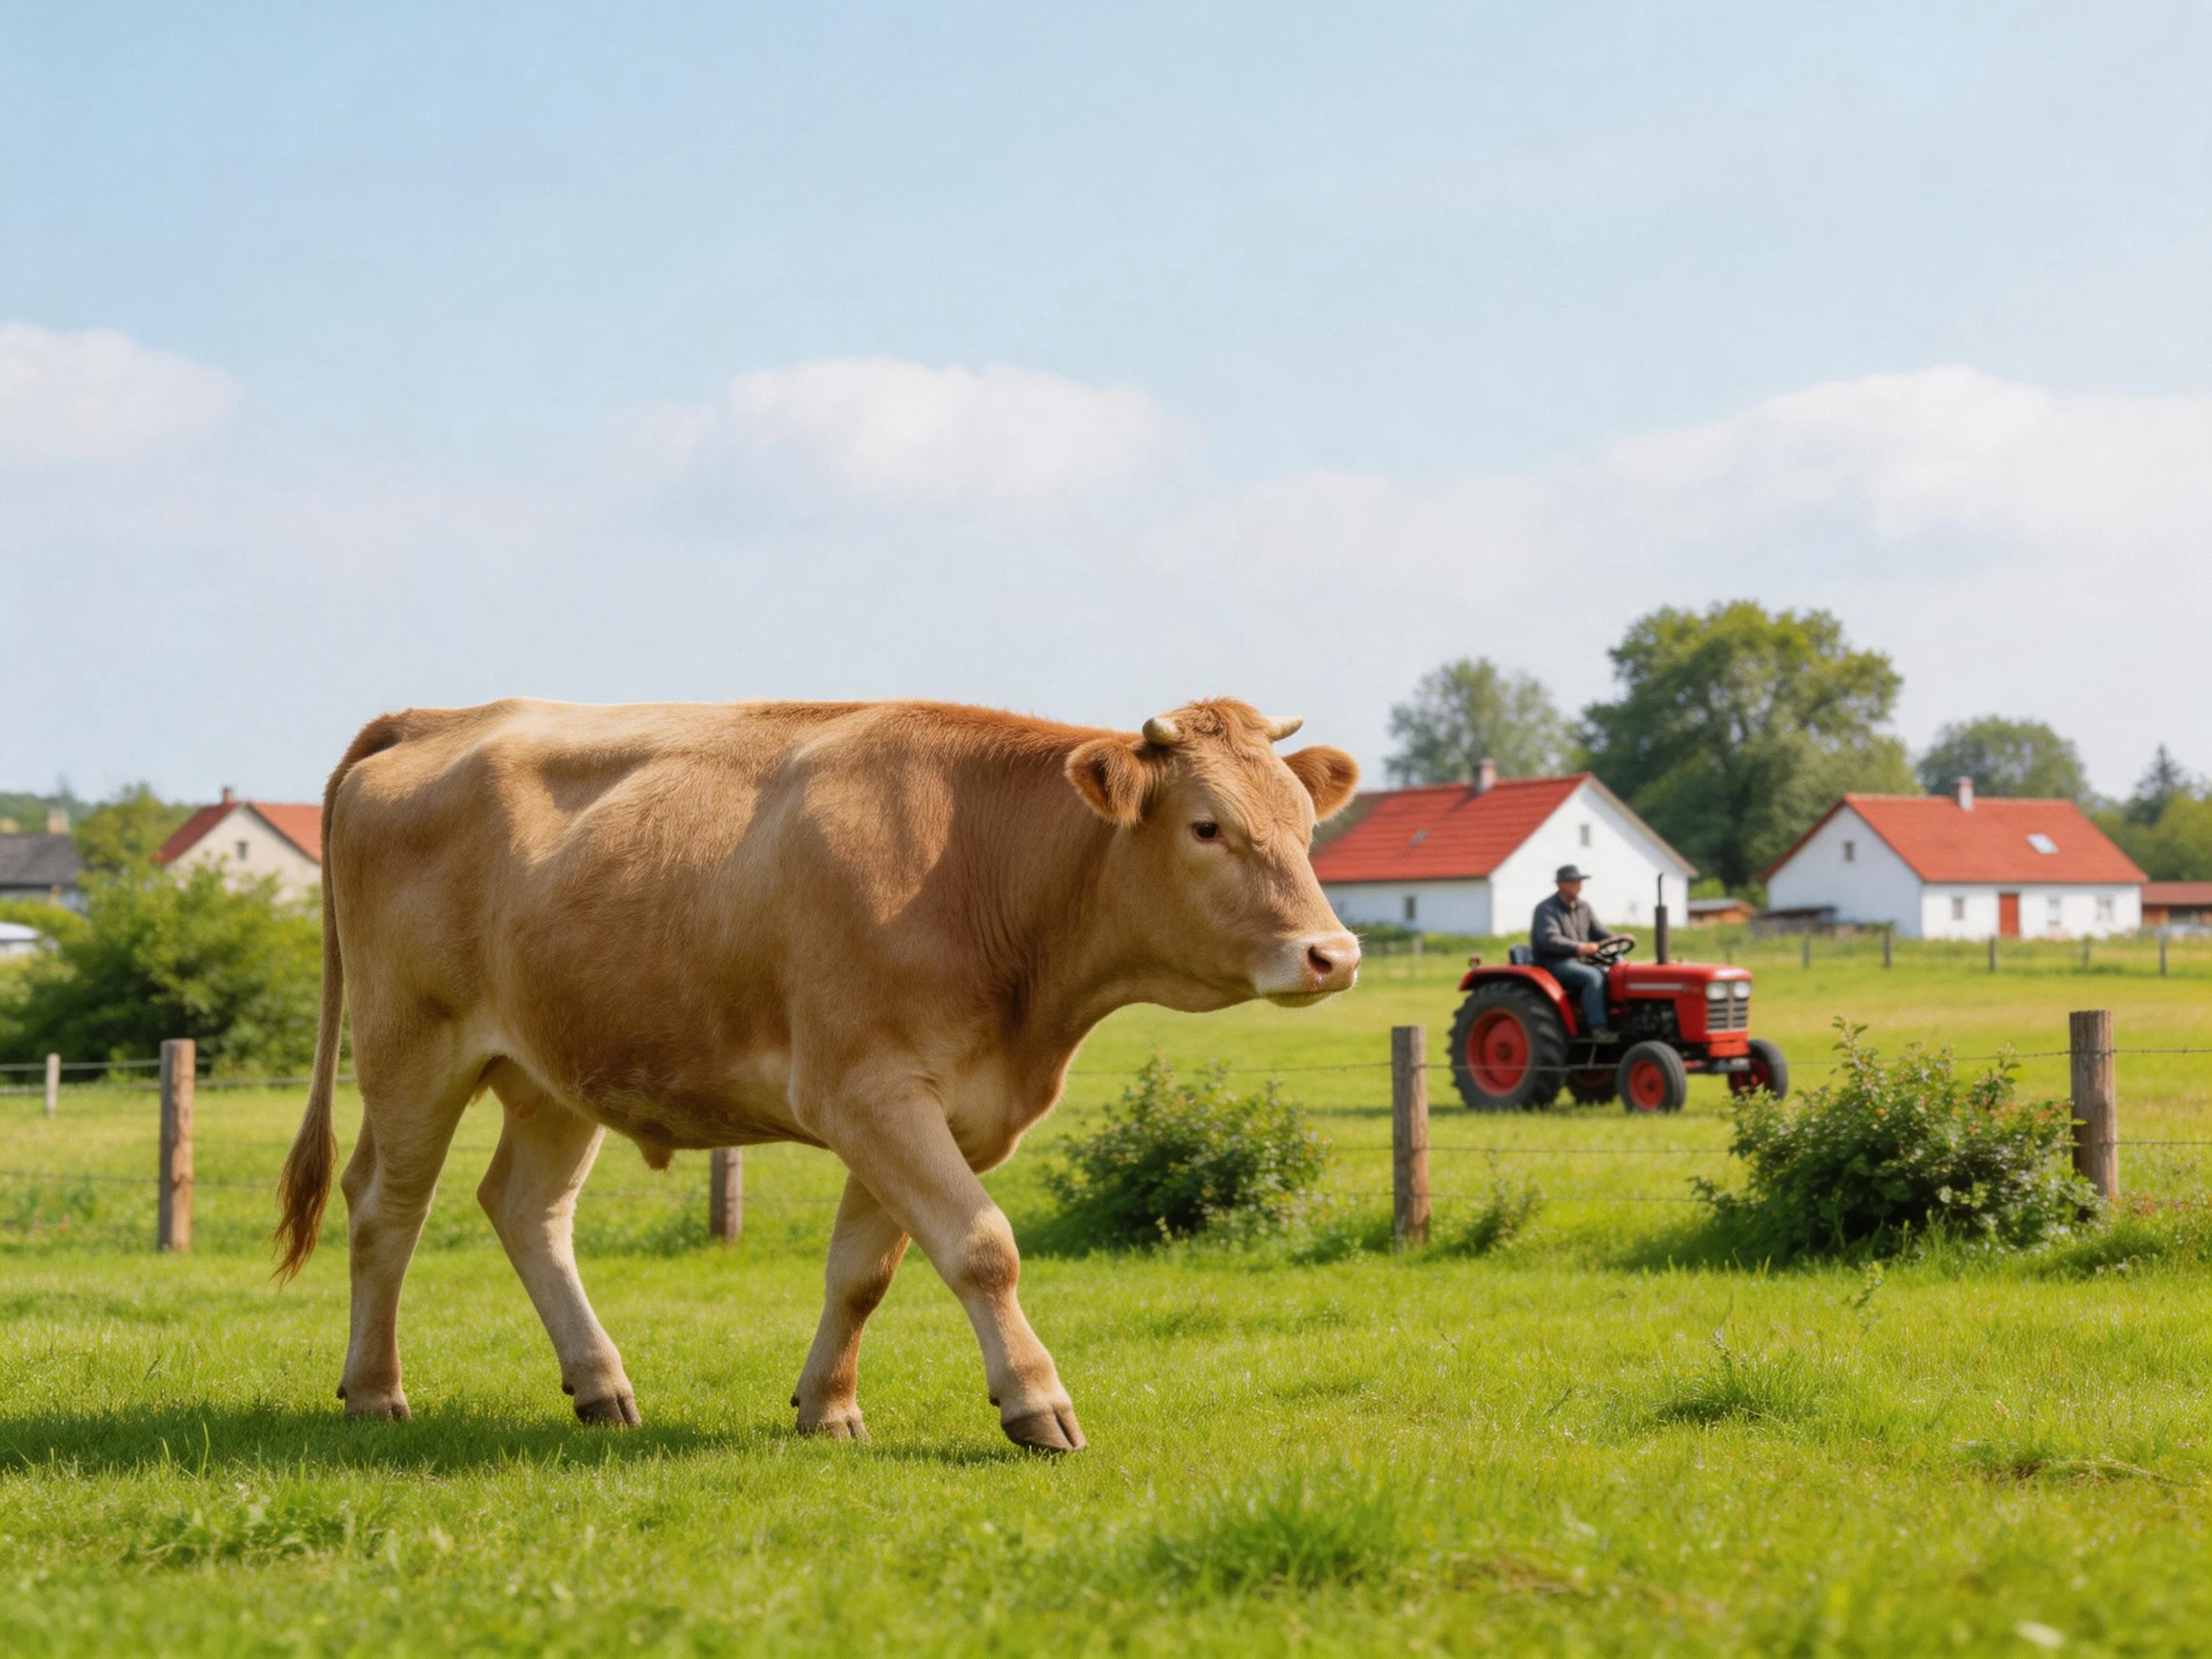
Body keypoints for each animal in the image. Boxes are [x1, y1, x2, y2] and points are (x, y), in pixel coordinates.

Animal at [274, 696, 1361, 1451]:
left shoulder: (928, 1108)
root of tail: (441, 716)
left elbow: (863, 1273)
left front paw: (826, 1409)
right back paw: (375, 1393)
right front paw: (1035, 1402)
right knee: (385, 1209)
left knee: (524, 1207)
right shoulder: (870, 1091)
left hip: (553, 1070)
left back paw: (601, 1385)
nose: (1333, 954)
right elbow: (982, 1247)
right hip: (411, 1047)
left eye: (1305, 823)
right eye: (1207, 826)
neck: (978, 867)